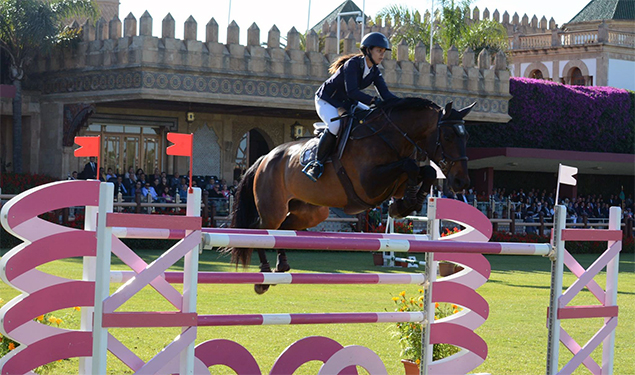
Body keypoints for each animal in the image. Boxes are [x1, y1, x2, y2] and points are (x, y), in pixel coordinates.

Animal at [226, 97, 470, 294]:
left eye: (465, 136)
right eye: (448, 136)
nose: (461, 182)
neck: (389, 137)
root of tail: (264, 158)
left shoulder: (394, 183)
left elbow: (426, 171)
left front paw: (406, 204)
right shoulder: (369, 185)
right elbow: (410, 166)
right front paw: (404, 204)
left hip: (311, 213)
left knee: (283, 232)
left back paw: (282, 266)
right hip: (273, 208)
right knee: (261, 231)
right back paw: (264, 277)